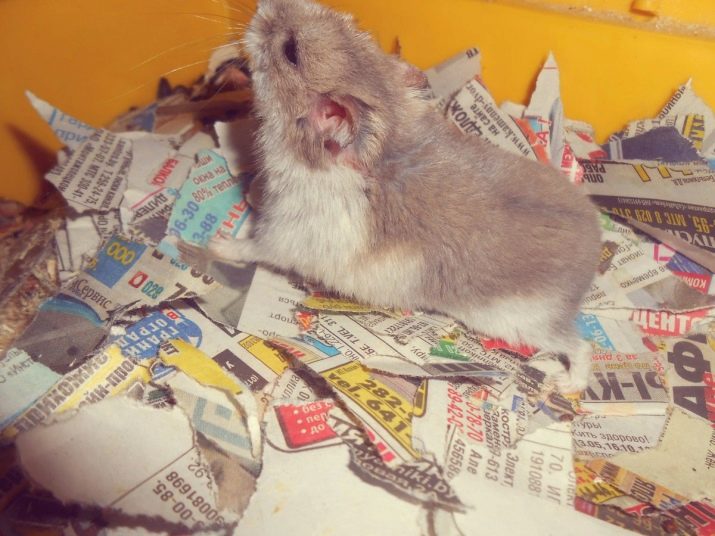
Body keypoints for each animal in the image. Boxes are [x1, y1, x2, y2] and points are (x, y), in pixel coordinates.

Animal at [181, 0, 603, 393]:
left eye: (291, 51)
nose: (263, 4)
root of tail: (594, 254)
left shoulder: (284, 234)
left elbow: (251, 245)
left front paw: (216, 241)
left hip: (525, 321)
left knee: (581, 347)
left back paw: (566, 384)